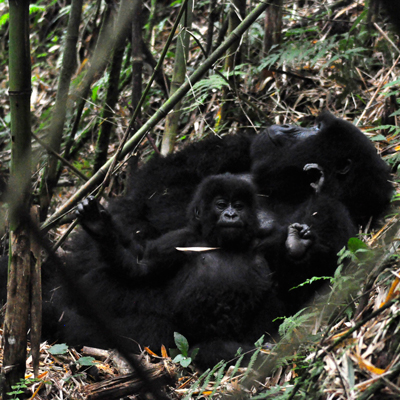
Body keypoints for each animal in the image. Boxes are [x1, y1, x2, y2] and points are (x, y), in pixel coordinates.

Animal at [50, 173, 282, 370]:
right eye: (221, 205)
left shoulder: (264, 240)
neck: (223, 244)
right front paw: (99, 227)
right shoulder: (180, 240)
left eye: (240, 206)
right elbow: (142, 268)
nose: (232, 215)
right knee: (216, 350)